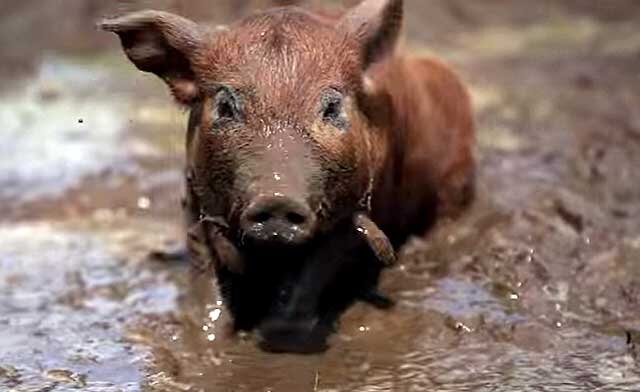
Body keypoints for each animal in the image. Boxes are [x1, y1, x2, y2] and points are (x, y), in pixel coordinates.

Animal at [101, 0, 476, 354]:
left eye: (332, 107)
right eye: (225, 105)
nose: (277, 198)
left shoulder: (352, 215)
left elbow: (312, 275)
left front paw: (280, 340)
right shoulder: (195, 206)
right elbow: (205, 281)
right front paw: (205, 340)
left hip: (455, 187)